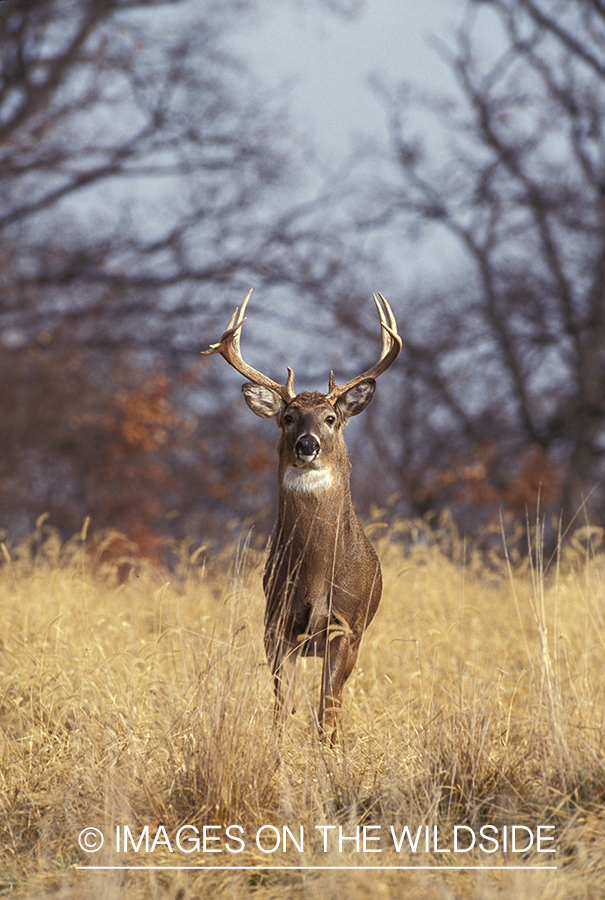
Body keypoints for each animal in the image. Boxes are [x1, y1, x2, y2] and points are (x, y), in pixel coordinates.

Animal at [202, 290, 401, 745]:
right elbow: (281, 711)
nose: (307, 445)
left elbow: (327, 714)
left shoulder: (345, 627)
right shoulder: (277, 624)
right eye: (288, 417)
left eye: (331, 418)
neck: (314, 577)